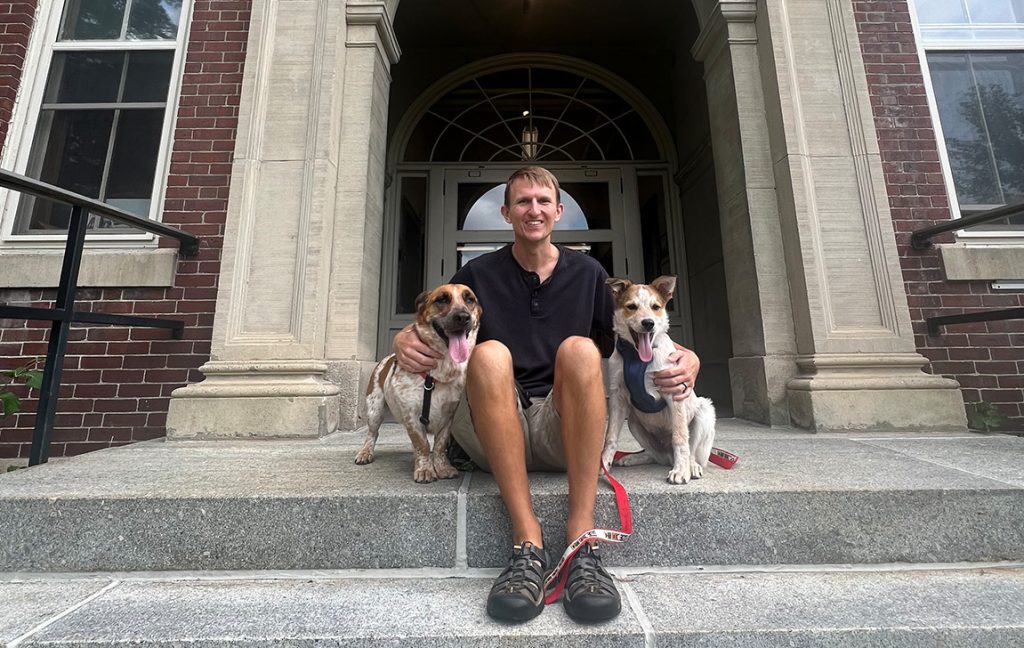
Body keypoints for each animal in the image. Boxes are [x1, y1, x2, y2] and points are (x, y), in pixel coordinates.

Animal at [354, 282, 481, 481]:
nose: (463, 317)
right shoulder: (412, 416)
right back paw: (365, 453)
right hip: (375, 410)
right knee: (372, 434)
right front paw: (425, 470)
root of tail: (386, 359)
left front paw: (442, 467)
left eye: (470, 299)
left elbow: (439, 445)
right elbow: (422, 445)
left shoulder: (448, 417)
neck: (439, 373)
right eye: (442, 299)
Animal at [598, 276, 716, 483]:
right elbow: (610, 437)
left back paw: (691, 466)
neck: (637, 357)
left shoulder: (674, 392)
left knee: (691, 451)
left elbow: (680, 437)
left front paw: (681, 471)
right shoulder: (617, 396)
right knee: (656, 455)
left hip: (705, 411)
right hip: (634, 423)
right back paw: (635, 457)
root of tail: (669, 455)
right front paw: (604, 465)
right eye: (631, 306)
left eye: (655, 307)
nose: (648, 323)